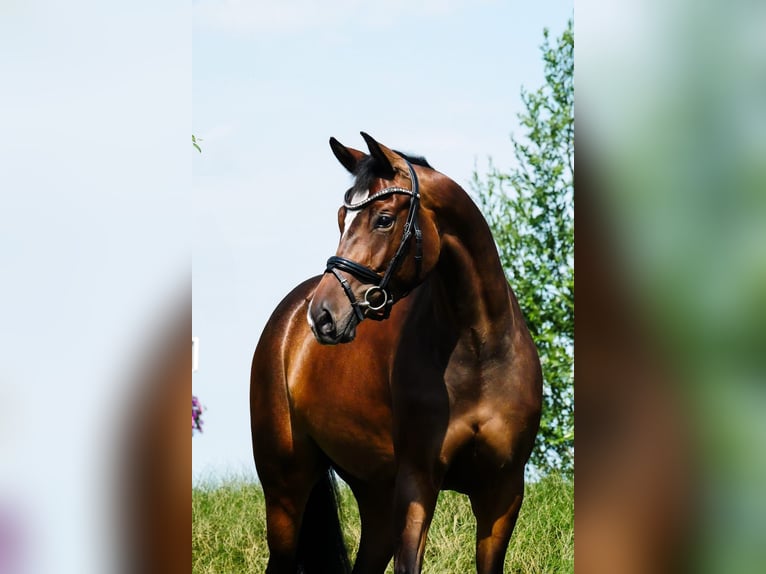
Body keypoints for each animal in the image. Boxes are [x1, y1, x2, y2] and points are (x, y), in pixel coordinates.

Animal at [250, 133, 542, 574]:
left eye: (384, 219)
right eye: (342, 217)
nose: (323, 314)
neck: (480, 351)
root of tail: (287, 320)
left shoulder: (503, 491)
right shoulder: (417, 482)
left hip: (376, 499)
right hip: (286, 491)